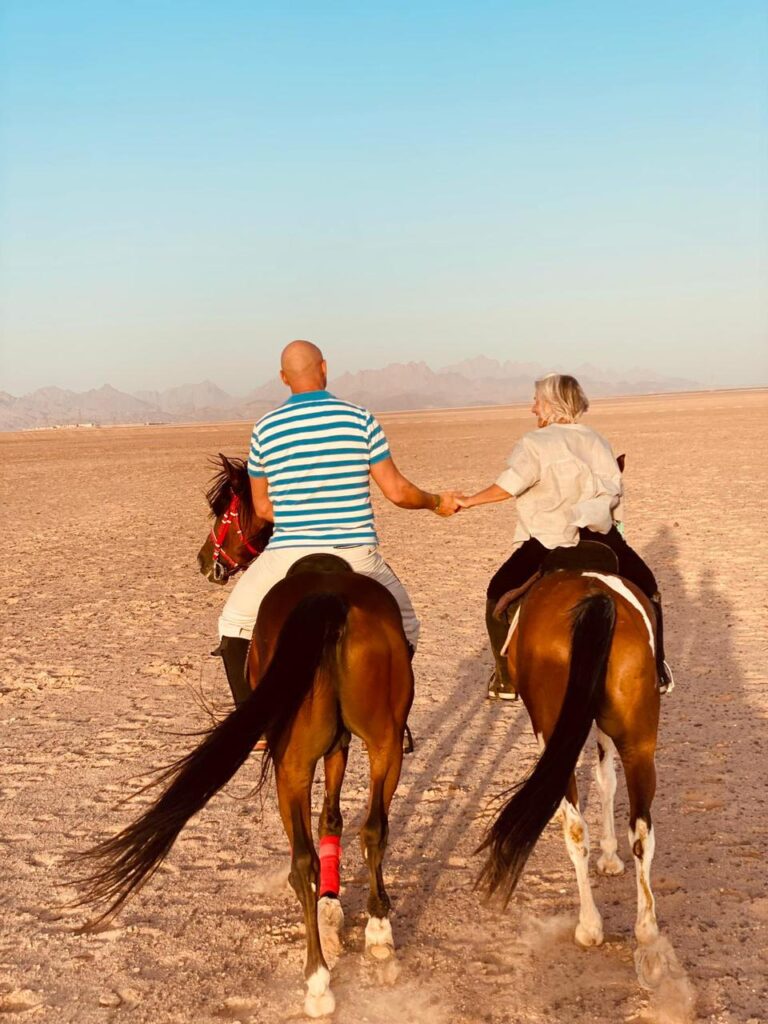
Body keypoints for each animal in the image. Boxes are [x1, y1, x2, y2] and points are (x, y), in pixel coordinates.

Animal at [78, 456, 415, 1015]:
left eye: (223, 513)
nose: (203, 562)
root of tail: (330, 598)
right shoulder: (342, 745)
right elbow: (334, 817)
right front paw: (336, 907)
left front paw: (328, 914)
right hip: (384, 744)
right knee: (373, 829)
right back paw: (380, 937)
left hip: (292, 763)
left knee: (301, 860)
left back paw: (317, 982)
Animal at [481, 548, 667, 987]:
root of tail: (594, 597)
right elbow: (607, 780)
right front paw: (612, 856)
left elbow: (598, 787)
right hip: (639, 740)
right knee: (642, 828)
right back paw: (647, 933)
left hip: (554, 737)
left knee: (574, 827)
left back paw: (589, 927)